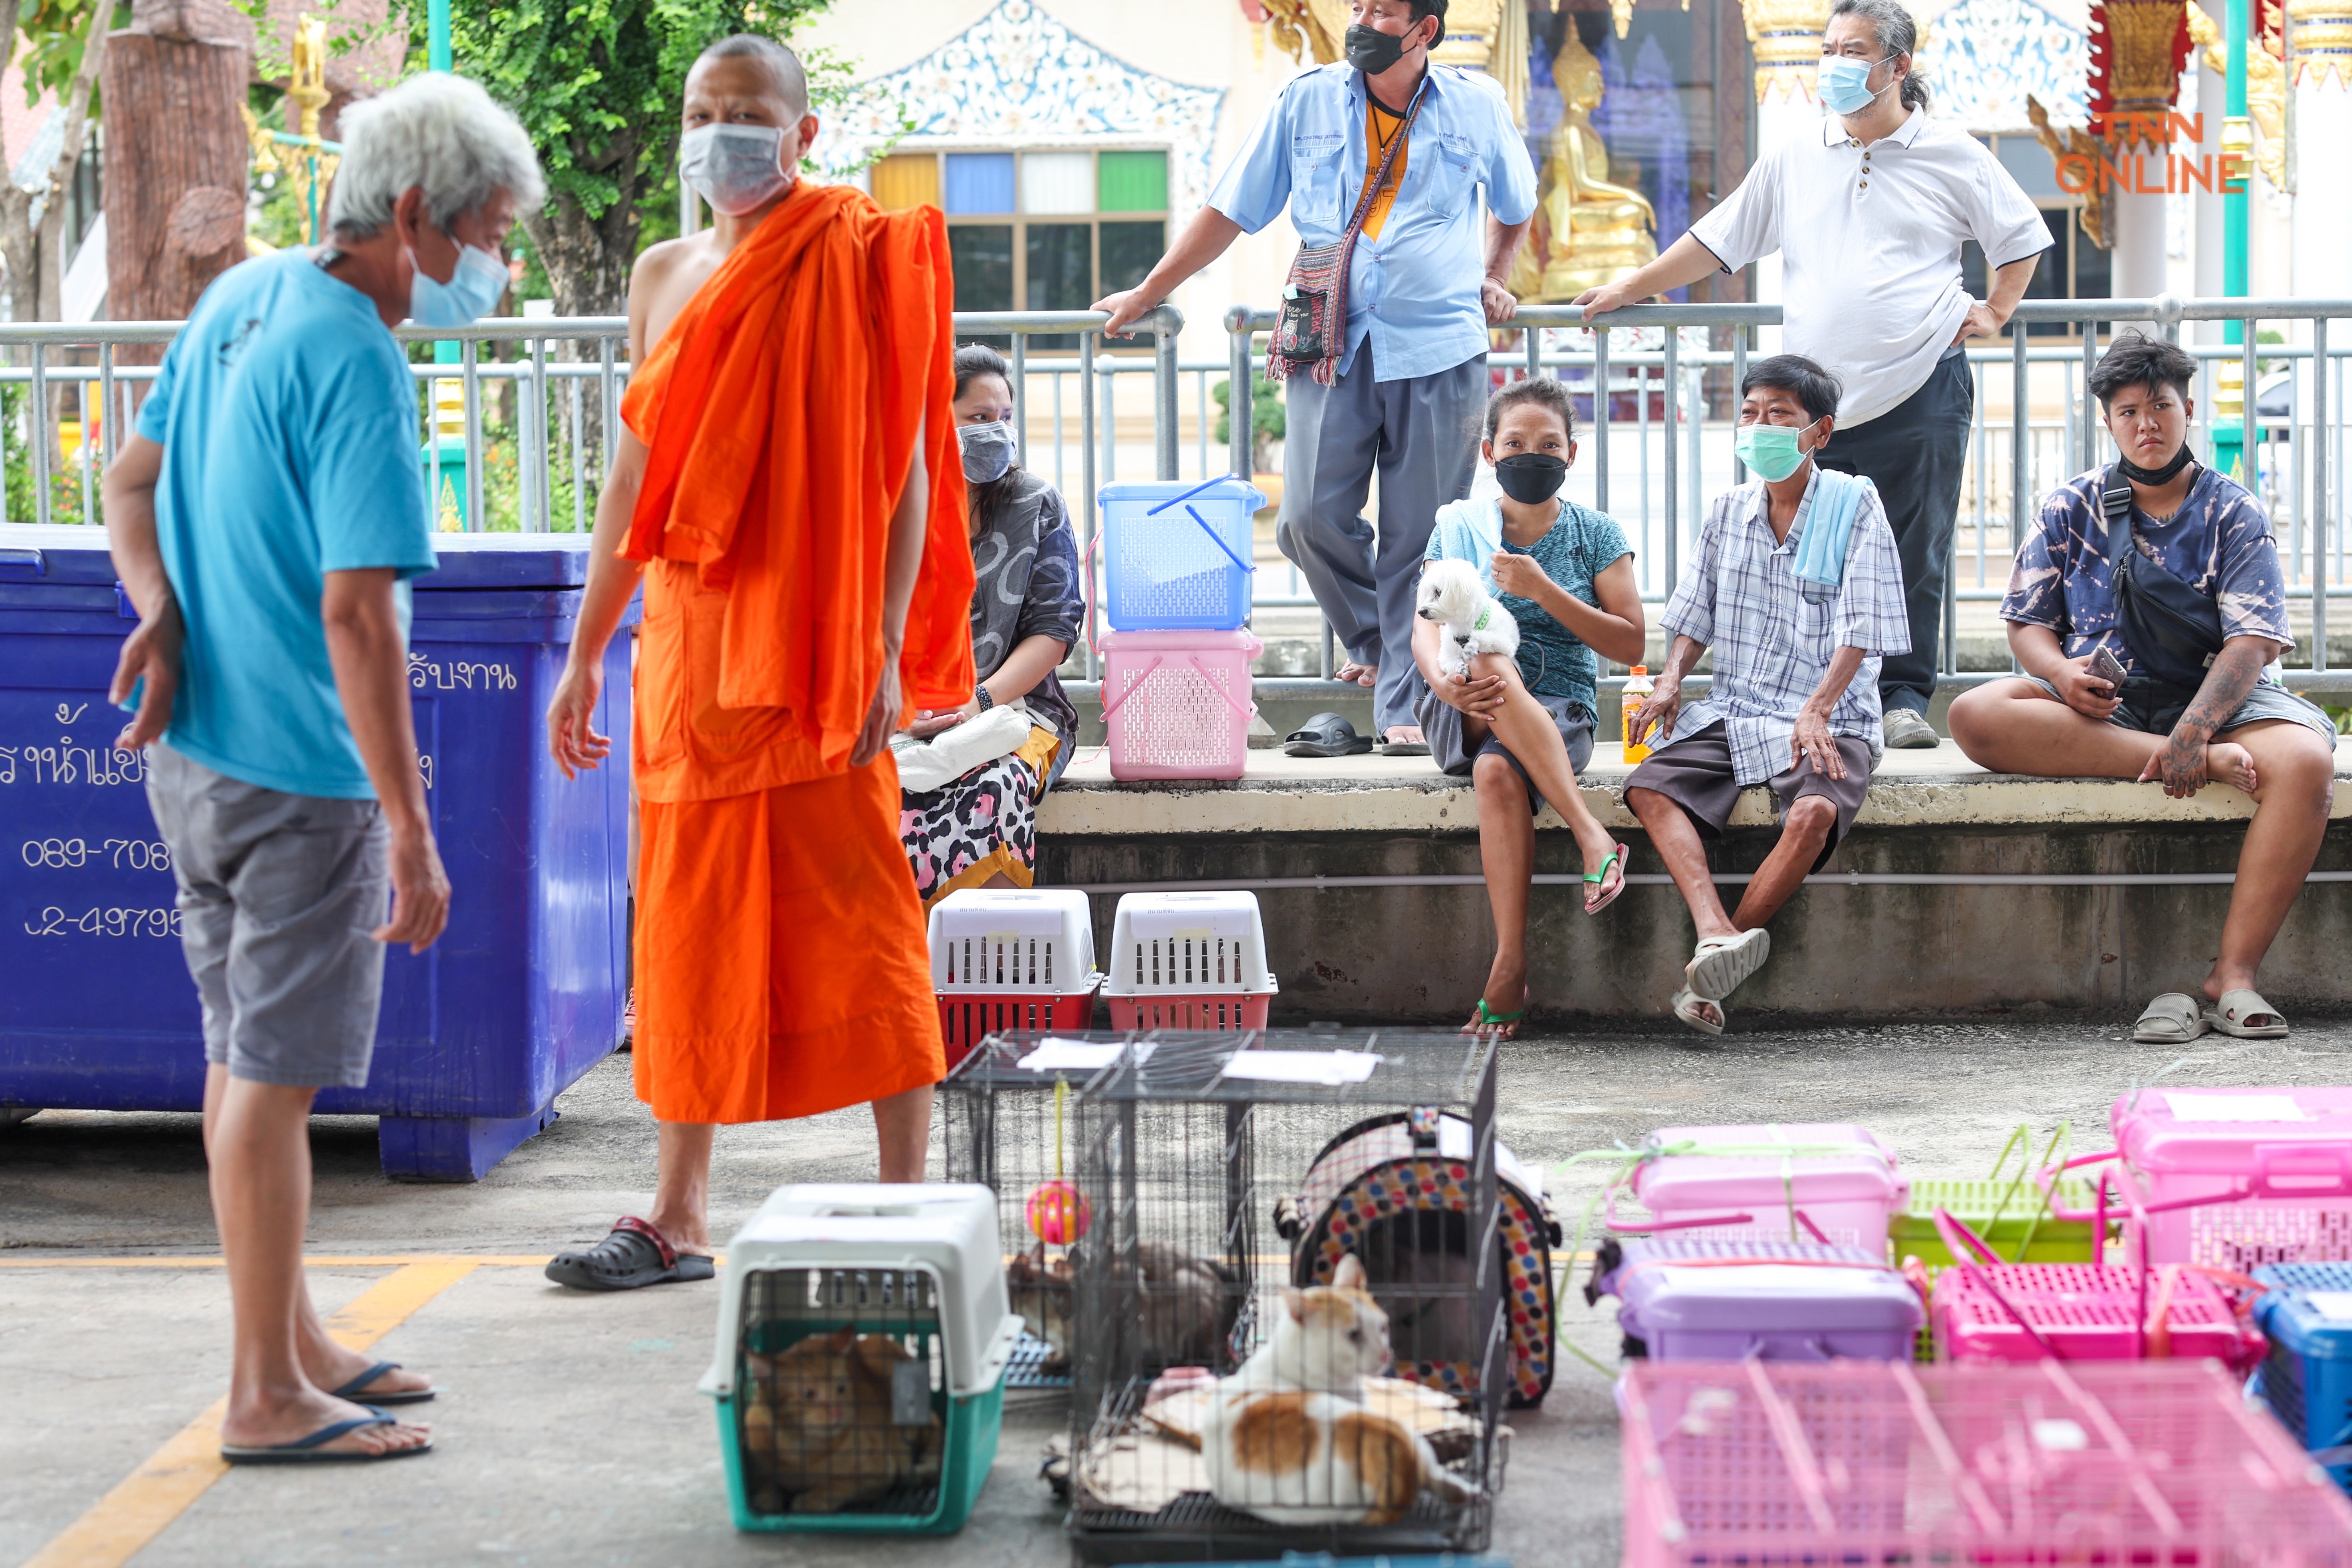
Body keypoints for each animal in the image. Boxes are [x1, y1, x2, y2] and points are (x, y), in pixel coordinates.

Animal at [1411, 564, 1524, 686]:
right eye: (1427, 594)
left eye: (1438, 592)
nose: (1421, 612)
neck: (1462, 628)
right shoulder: (1445, 656)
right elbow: (1450, 663)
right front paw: (1461, 668)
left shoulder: (1507, 645)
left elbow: (1489, 639)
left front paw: (1473, 645)